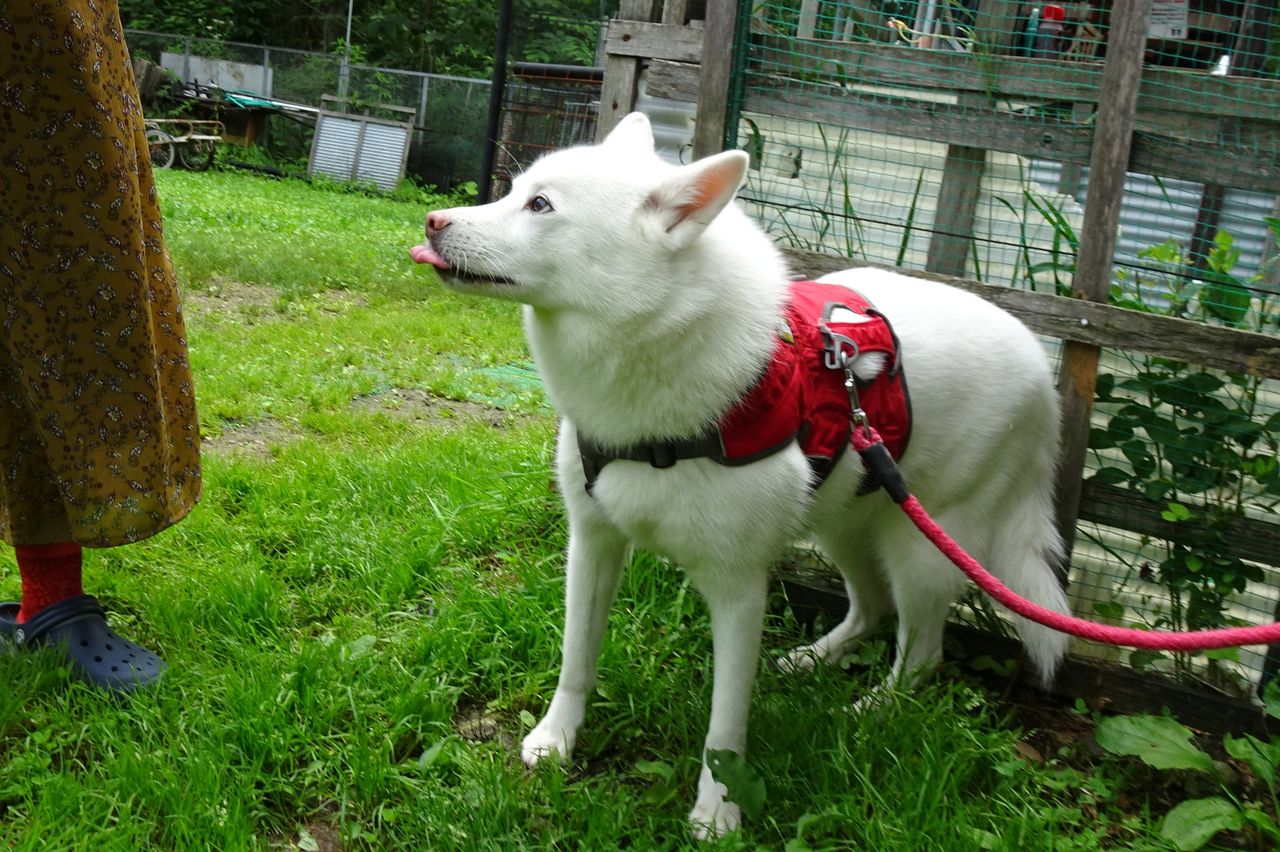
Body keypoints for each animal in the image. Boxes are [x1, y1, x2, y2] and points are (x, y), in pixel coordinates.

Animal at [410, 112, 1071, 837]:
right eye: (515, 192)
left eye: (541, 206)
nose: (433, 221)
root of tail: (1043, 372)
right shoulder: (593, 542)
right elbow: (576, 660)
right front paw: (557, 739)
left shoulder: (738, 589)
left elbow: (724, 728)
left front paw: (717, 812)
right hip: (844, 521)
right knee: (871, 608)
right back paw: (812, 662)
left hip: (920, 548)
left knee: (922, 651)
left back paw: (871, 713)